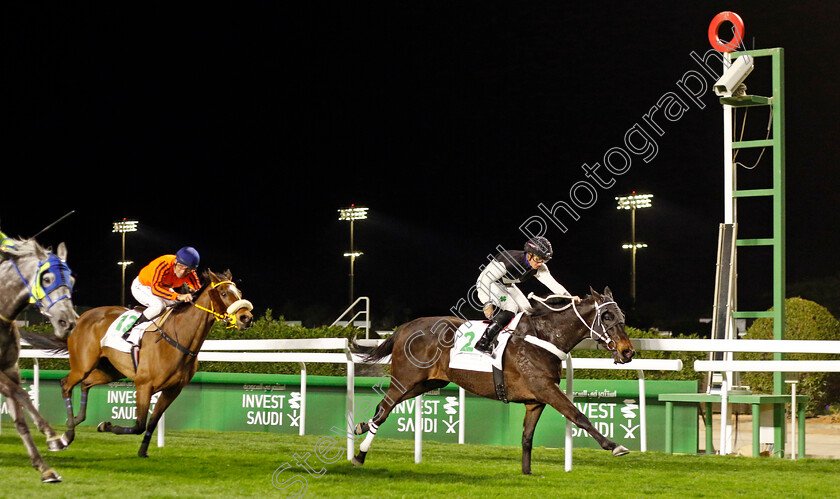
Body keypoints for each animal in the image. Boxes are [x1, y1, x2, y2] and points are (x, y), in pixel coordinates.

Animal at [0, 238, 76, 484]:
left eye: (72, 280)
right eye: (47, 279)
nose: (68, 323)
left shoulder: (10, 368)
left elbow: (20, 421)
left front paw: (44, 468)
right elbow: (23, 394)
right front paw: (54, 437)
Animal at [23, 272, 253, 458]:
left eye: (239, 291)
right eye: (224, 293)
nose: (246, 317)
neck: (178, 338)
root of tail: (81, 317)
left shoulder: (172, 390)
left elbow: (151, 422)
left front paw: (143, 452)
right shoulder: (144, 385)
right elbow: (139, 425)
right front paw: (105, 425)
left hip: (110, 370)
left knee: (86, 384)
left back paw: (76, 421)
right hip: (83, 364)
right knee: (66, 384)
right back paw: (68, 433)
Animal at [352, 288, 632, 474]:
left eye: (622, 315)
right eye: (607, 316)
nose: (628, 351)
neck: (544, 337)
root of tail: (404, 327)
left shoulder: (536, 401)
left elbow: (527, 438)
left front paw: (527, 473)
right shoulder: (545, 388)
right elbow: (578, 415)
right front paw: (614, 445)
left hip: (428, 383)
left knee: (382, 408)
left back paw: (361, 427)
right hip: (405, 378)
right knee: (384, 409)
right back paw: (360, 455)